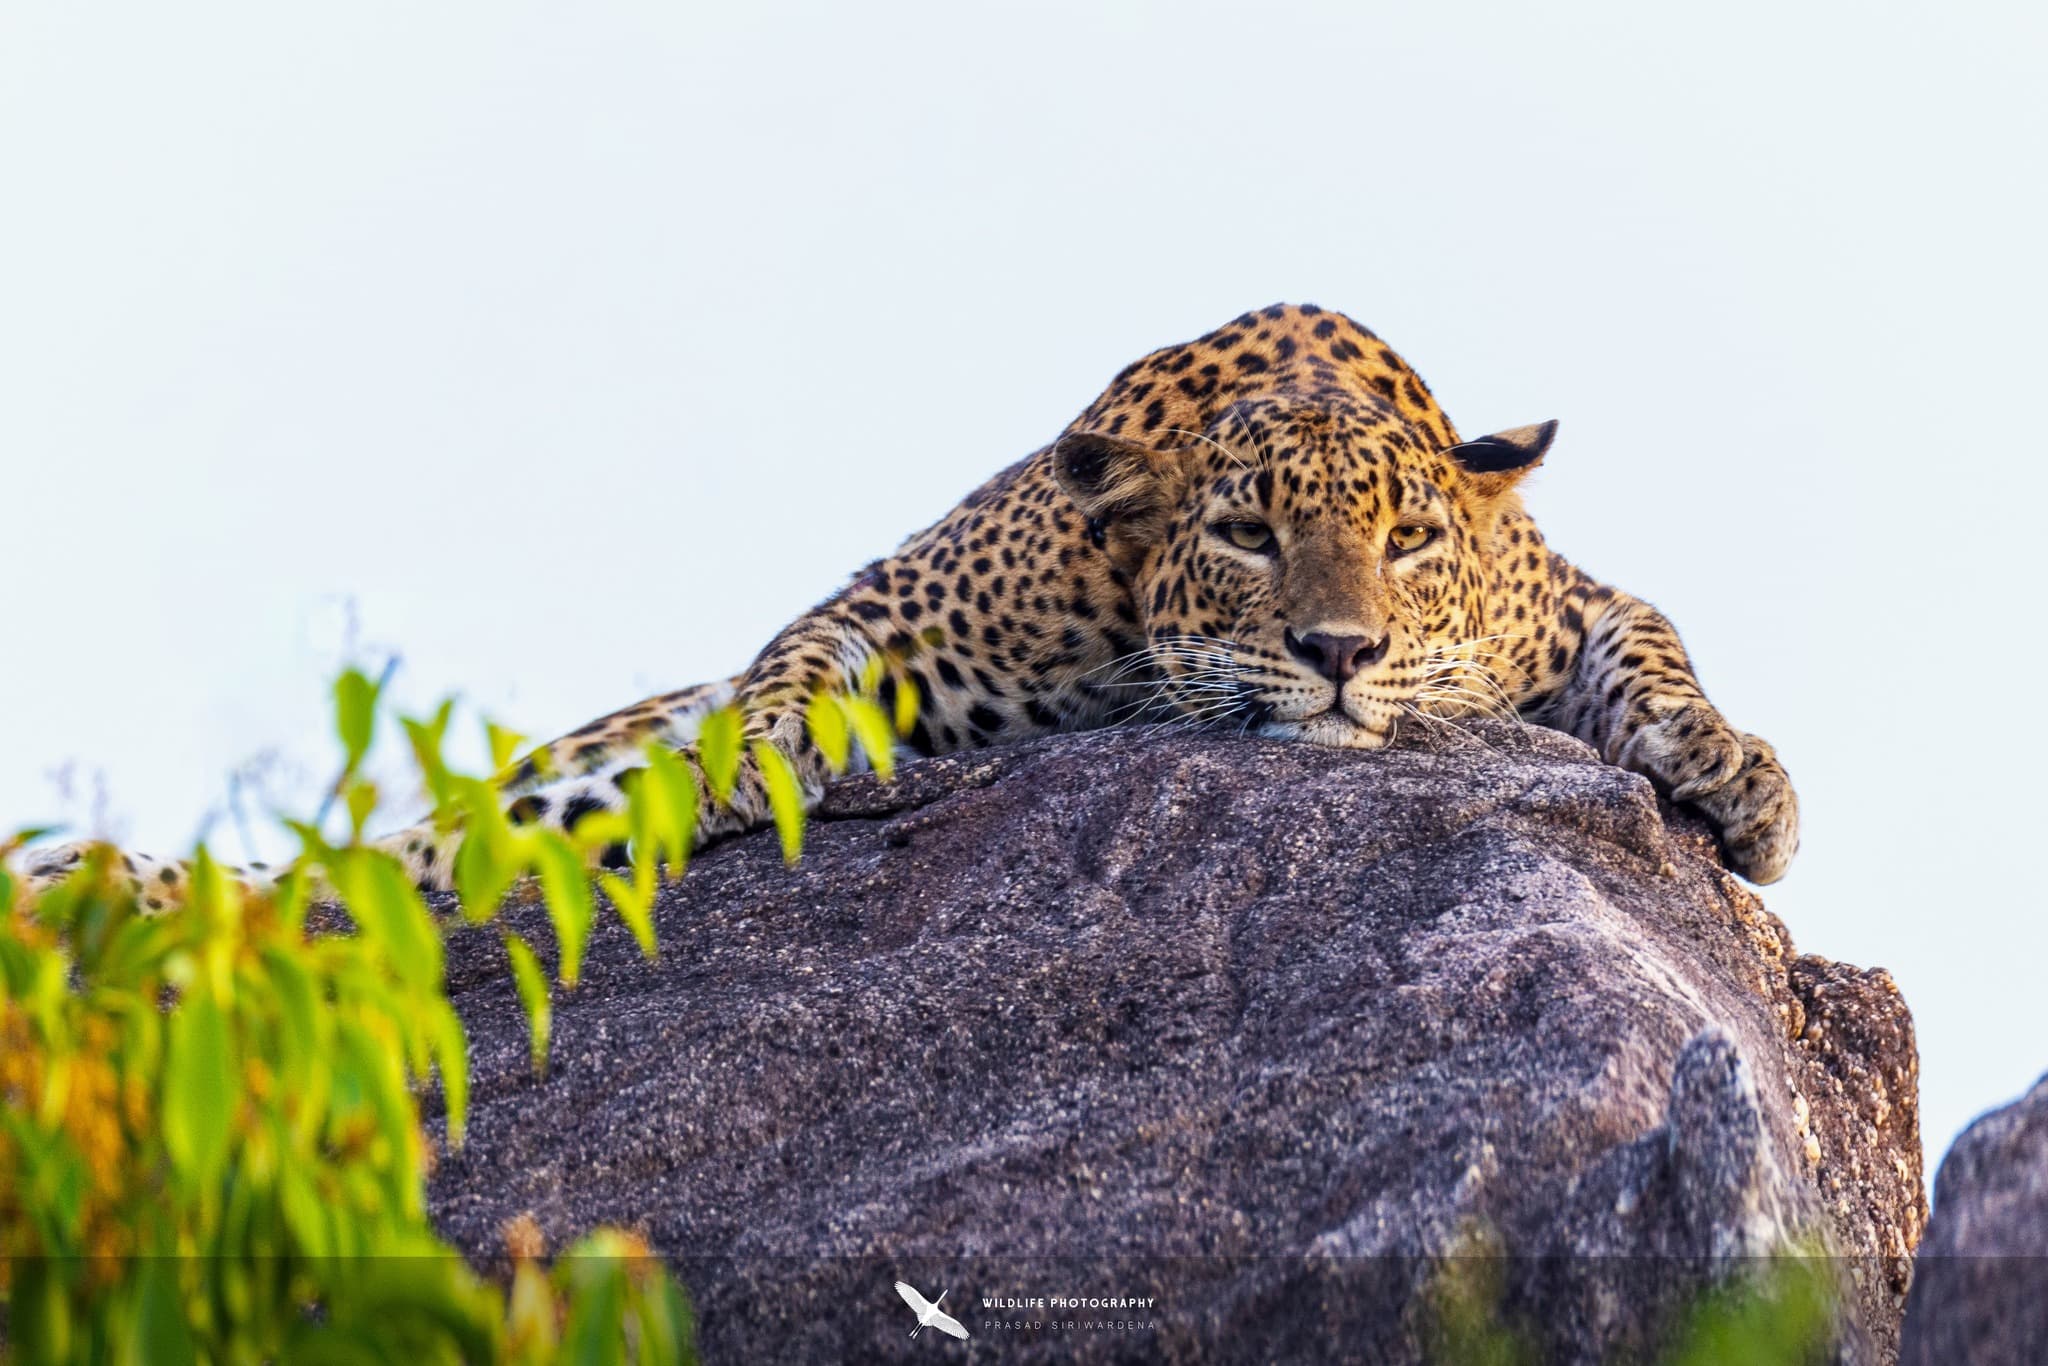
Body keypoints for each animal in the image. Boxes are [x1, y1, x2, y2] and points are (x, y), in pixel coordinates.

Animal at [18, 304, 1798, 911]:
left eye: (1411, 540)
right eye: (1244, 533)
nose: (1340, 654)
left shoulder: (1557, 597)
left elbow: (1652, 642)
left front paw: (1740, 779)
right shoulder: (913, 607)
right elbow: (801, 659)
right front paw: (761, 764)